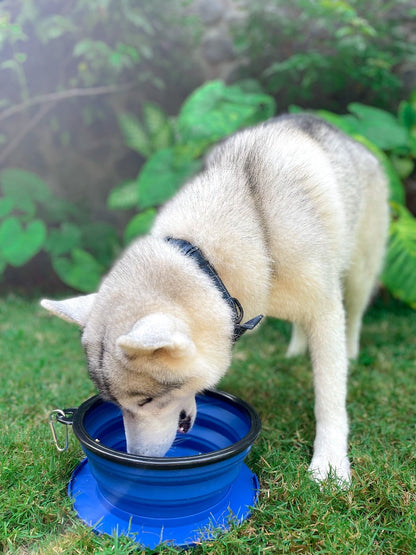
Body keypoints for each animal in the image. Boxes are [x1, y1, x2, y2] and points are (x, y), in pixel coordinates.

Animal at [40, 115, 388, 484]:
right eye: (116, 405)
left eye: (146, 401)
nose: (136, 458)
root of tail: (349, 137)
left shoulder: (324, 309)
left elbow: (329, 396)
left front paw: (331, 462)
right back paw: (296, 349)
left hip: (360, 269)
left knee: (355, 310)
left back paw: (350, 352)